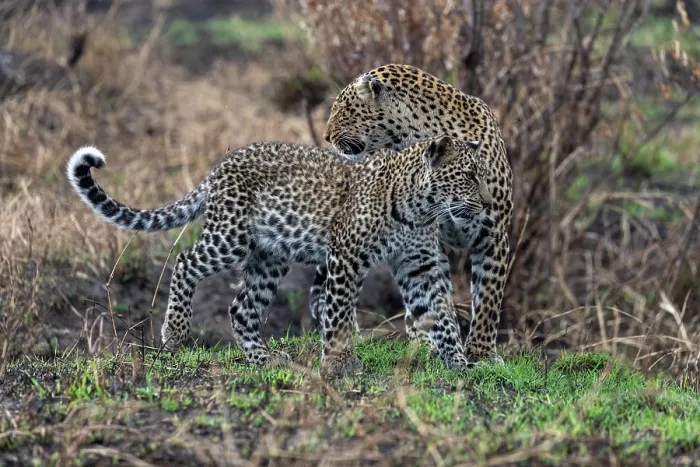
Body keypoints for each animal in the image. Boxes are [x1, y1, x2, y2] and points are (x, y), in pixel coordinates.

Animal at [66, 135, 491, 374]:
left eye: (485, 176)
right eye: (469, 176)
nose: (488, 203)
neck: (422, 208)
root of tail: (219, 167)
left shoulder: (420, 265)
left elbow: (441, 312)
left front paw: (459, 362)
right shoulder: (346, 255)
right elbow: (339, 314)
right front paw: (338, 364)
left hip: (269, 256)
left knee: (242, 308)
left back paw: (263, 359)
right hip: (230, 238)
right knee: (186, 262)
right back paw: (176, 333)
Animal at [308, 63, 513, 366]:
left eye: (344, 109)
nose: (326, 137)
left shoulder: (493, 233)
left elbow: (488, 295)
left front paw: (482, 352)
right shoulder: (425, 242)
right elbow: (434, 295)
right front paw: (434, 343)